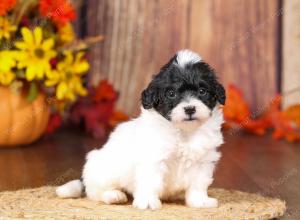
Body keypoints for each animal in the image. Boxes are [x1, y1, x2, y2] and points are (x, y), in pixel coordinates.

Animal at [56, 49, 225, 210]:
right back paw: (113, 195)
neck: (184, 132)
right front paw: (148, 202)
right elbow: (150, 181)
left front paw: (199, 201)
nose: (190, 109)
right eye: (171, 94)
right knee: (94, 191)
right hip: (103, 169)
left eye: (202, 91)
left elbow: (198, 184)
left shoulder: (203, 161)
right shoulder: (152, 159)